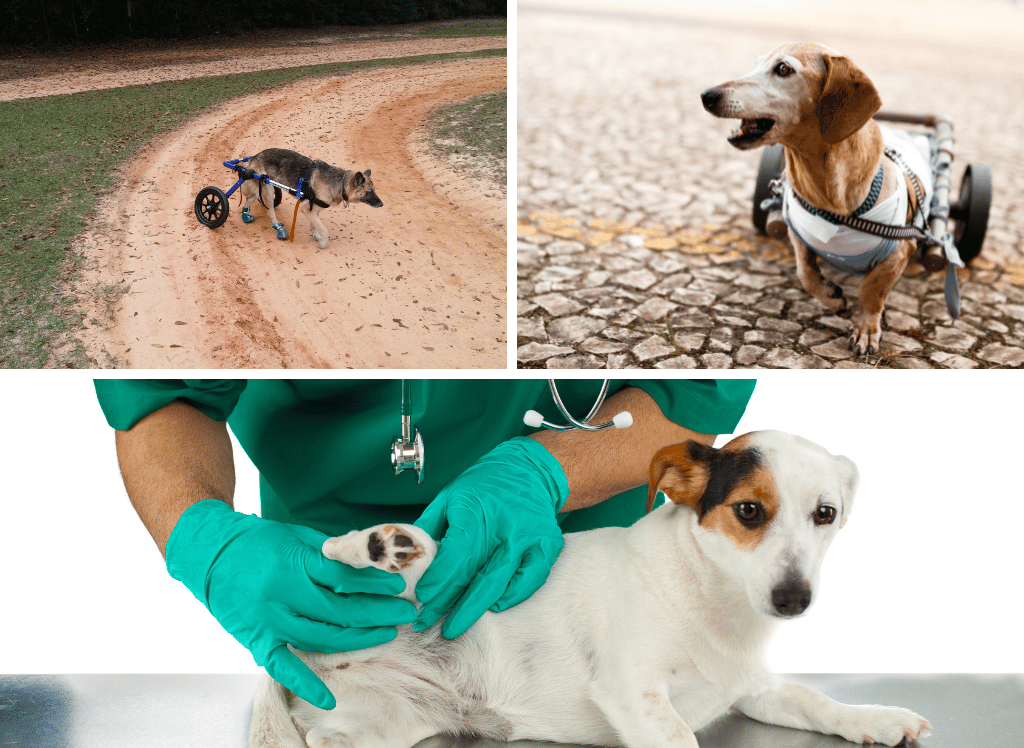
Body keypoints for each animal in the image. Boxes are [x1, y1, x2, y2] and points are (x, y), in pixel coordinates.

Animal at [238, 147, 385, 247]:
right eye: (370, 191)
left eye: (374, 190)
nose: (382, 204)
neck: (340, 183)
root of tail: (253, 157)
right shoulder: (306, 209)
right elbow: (324, 229)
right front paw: (323, 242)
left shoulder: (314, 209)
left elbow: (315, 225)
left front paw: (316, 235)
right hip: (268, 187)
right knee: (270, 212)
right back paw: (279, 228)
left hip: (260, 188)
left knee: (249, 198)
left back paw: (245, 215)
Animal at [247, 430, 929, 745]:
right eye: (749, 511)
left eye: (826, 514)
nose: (794, 600)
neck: (709, 601)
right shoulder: (632, 690)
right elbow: (679, 735)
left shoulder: (752, 689)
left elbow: (816, 701)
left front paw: (877, 717)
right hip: (406, 581)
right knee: (349, 556)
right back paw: (380, 545)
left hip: (385, 721)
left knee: (326, 735)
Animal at [700, 43, 933, 354]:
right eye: (757, 63)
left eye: (783, 69)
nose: (707, 95)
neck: (830, 200)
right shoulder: (798, 233)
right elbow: (806, 273)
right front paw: (831, 296)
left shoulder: (902, 249)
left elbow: (872, 289)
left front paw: (866, 328)